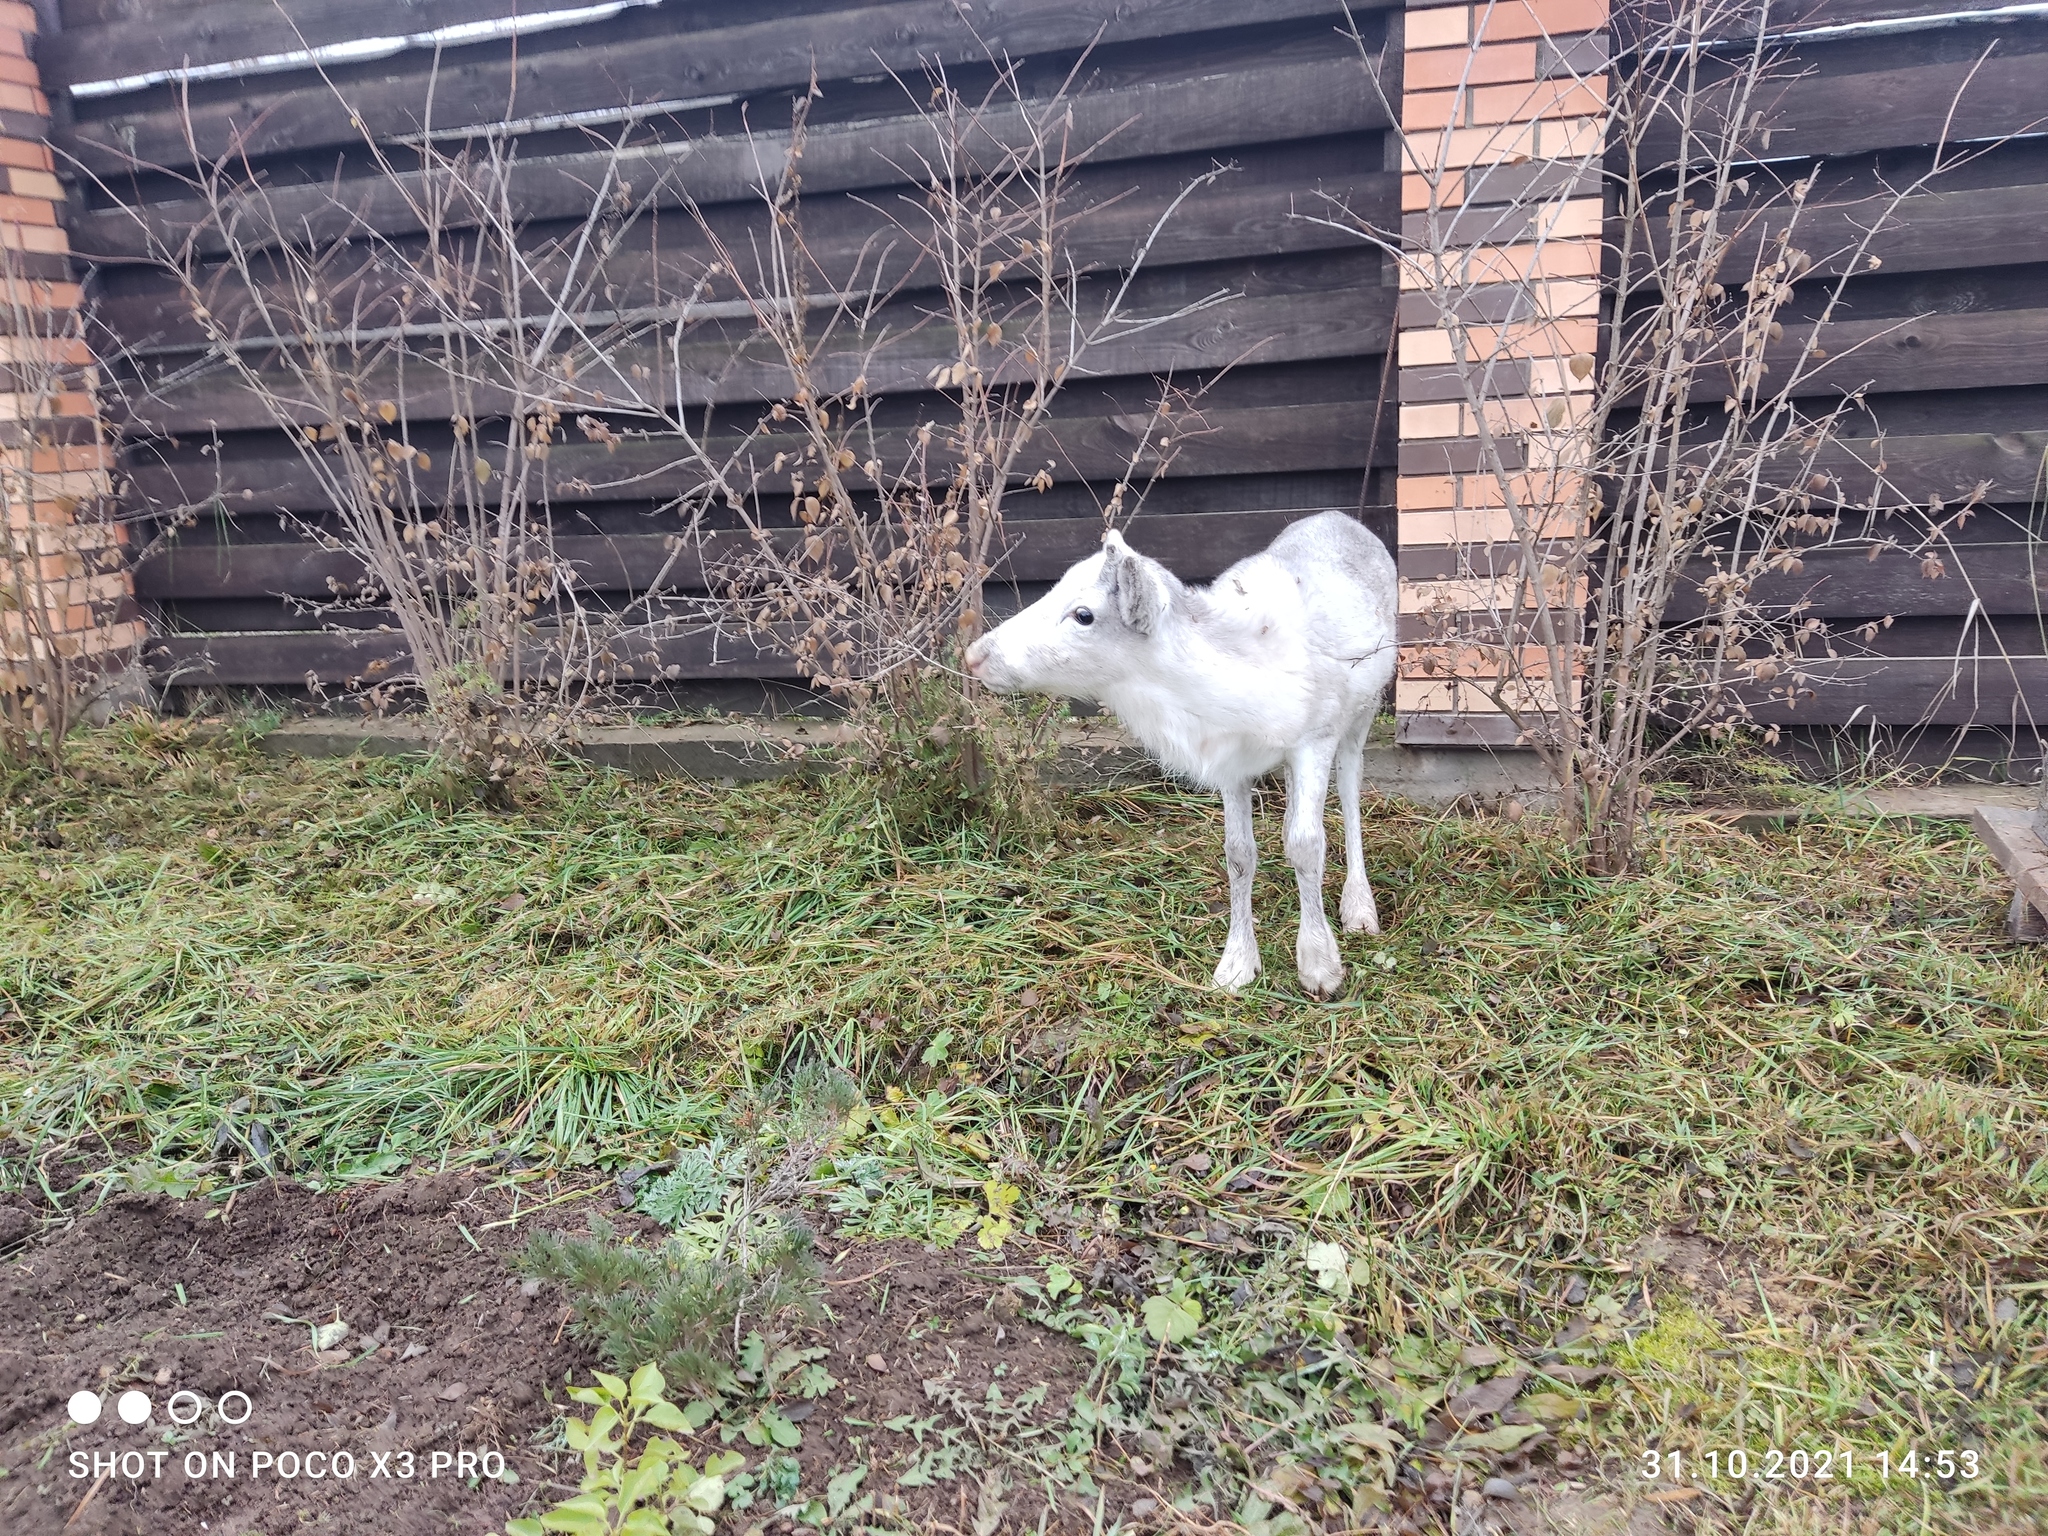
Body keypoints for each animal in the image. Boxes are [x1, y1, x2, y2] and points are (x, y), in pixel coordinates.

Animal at [966, 512, 1400, 1003]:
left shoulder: (1315, 739)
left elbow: (1307, 845)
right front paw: (1235, 965)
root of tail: (1339, 516)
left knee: (1350, 796)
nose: (975, 656)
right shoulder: (1233, 763)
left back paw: (1359, 907)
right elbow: (1239, 853)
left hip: (1363, 714)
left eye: (1083, 614)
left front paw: (1320, 968)